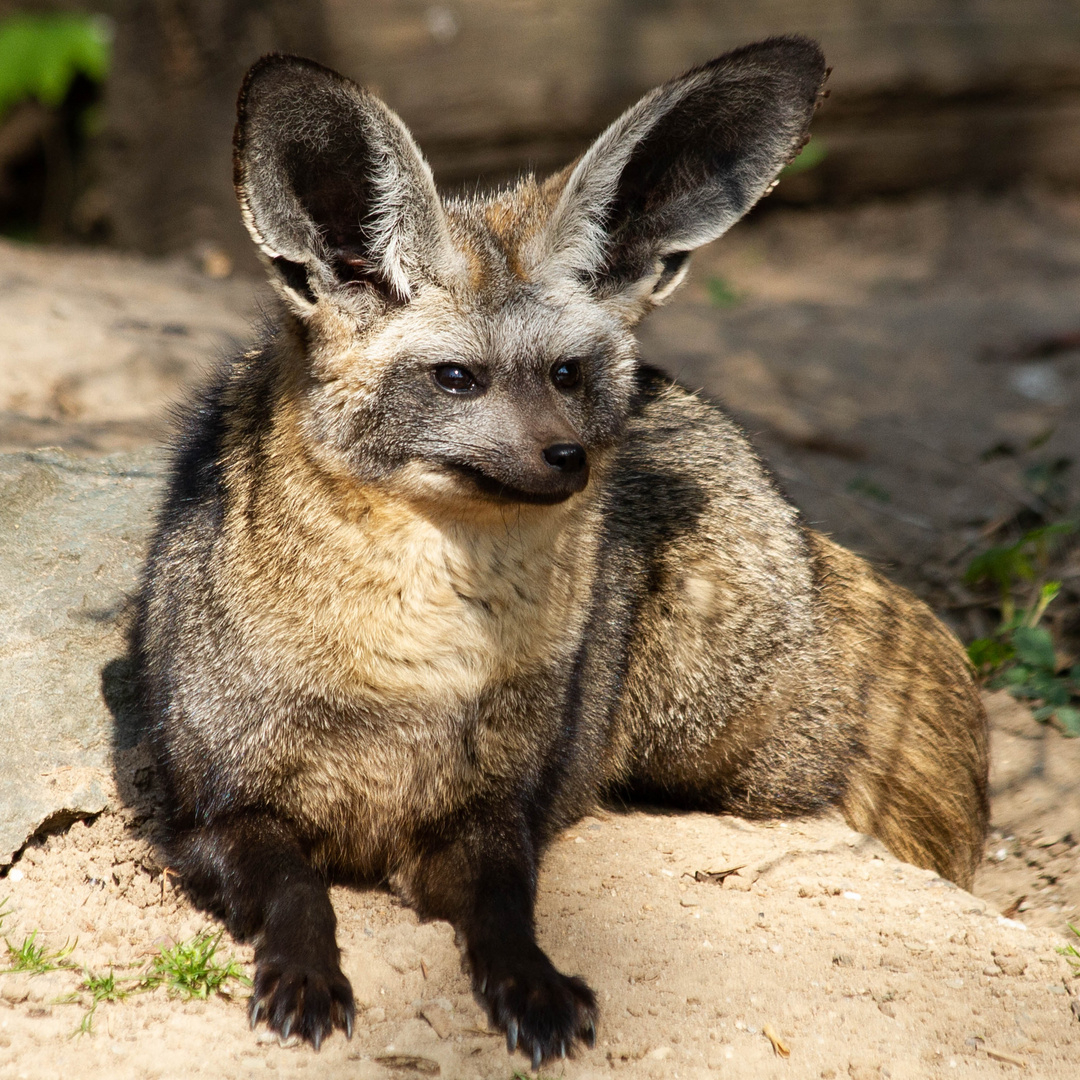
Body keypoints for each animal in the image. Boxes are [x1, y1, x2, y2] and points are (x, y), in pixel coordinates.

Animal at [135, 35, 989, 1071]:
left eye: (567, 374)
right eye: (455, 378)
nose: (572, 459)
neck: (412, 675)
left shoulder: (493, 816)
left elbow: (510, 912)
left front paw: (534, 987)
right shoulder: (211, 815)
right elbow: (302, 895)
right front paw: (304, 976)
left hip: (714, 734)